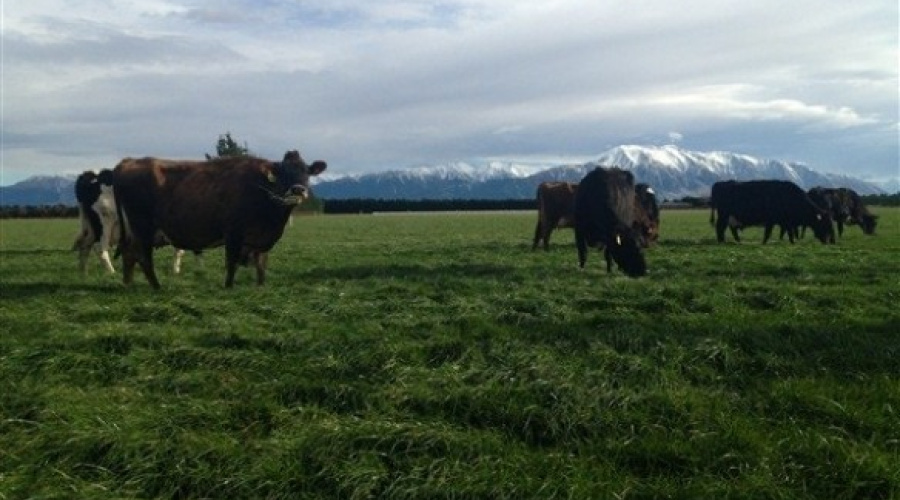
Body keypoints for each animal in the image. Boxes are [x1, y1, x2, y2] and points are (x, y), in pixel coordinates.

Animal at [113, 150, 326, 288]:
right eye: (283, 172)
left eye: (306, 172)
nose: (298, 190)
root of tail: (128, 162)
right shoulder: (233, 233)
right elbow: (232, 263)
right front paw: (229, 287)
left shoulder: (260, 241)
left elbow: (261, 266)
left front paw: (261, 287)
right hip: (143, 228)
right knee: (143, 257)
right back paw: (157, 287)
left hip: (132, 231)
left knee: (128, 253)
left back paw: (128, 284)